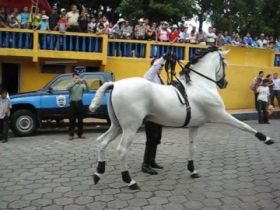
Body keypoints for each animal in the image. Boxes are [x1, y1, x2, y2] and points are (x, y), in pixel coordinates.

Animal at [89, 48, 274, 190]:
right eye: (225, 64)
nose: (225, 83)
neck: (199, 85)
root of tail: (115, 85)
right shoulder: (220, 114)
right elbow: (244, 126)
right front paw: (266, 139)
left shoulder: (194, 126)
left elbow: (192, 148)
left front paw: (193, 170)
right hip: (130, 127)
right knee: (121, 150)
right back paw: (130, 181)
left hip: (117, 126)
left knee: (101, 141)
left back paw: (98, 173)